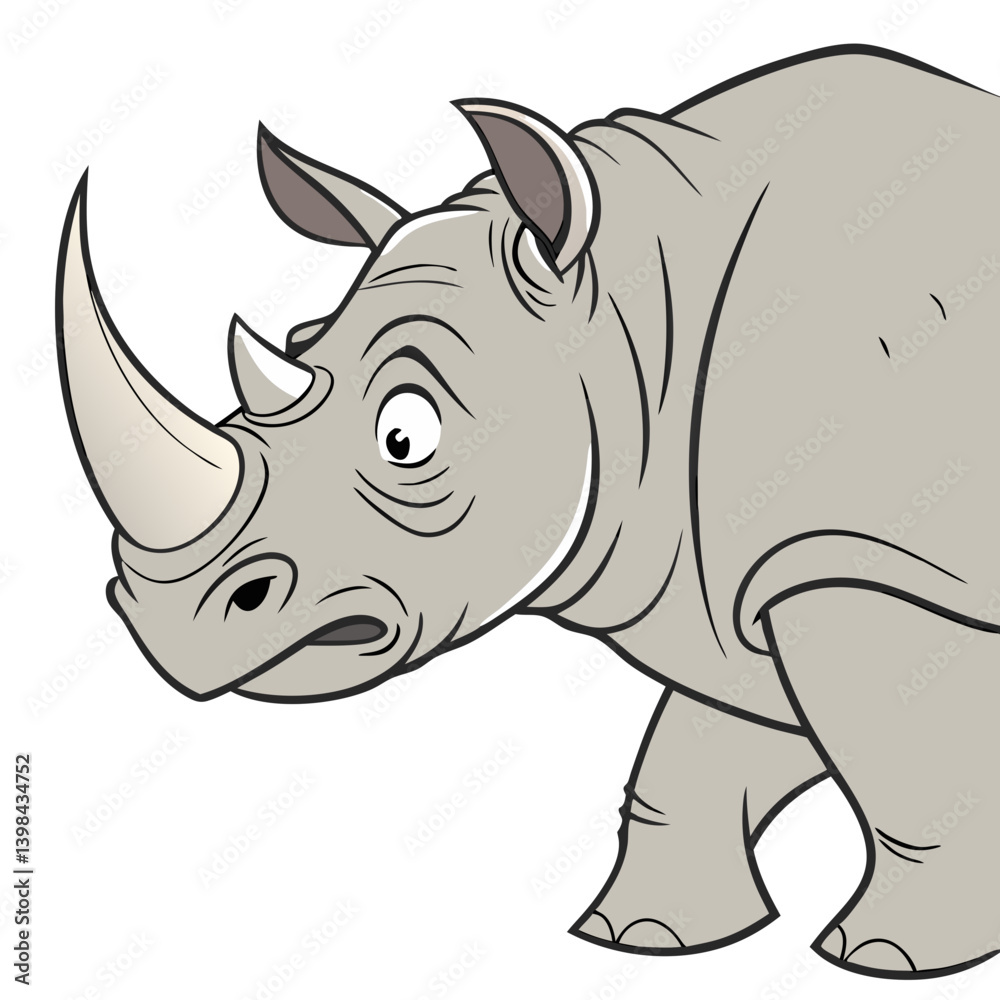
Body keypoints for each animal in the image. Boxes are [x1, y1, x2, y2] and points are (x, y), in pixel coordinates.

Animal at [57, 43, 1000, 979]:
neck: (640, 307)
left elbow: (900, 761)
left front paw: (887, 958)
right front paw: (642, 936)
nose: (164, 627)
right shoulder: (734, 590)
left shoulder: (868, 557)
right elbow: (698, 757)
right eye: (297, 345)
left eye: (406, 435)